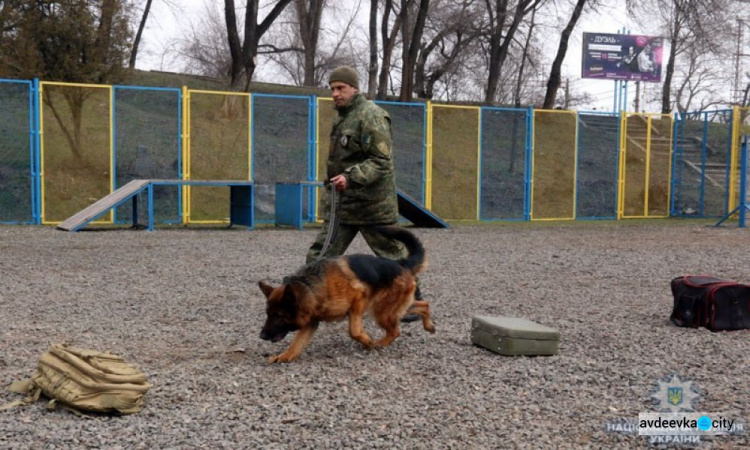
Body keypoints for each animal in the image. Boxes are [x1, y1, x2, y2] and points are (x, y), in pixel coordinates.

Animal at [258, 227, 434, 364]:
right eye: (268, 314)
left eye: (279, 316)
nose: (261, 336)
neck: (310, 287)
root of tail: (401, 263)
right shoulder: (311, 322)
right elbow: (296, 344)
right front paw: (284, 356)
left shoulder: (359, 299)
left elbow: (354, 331)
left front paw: (367, 340)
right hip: (390, 307)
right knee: (424, 305)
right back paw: (429, 326)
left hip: (381, 311)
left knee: (395, 331)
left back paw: (378, 343)